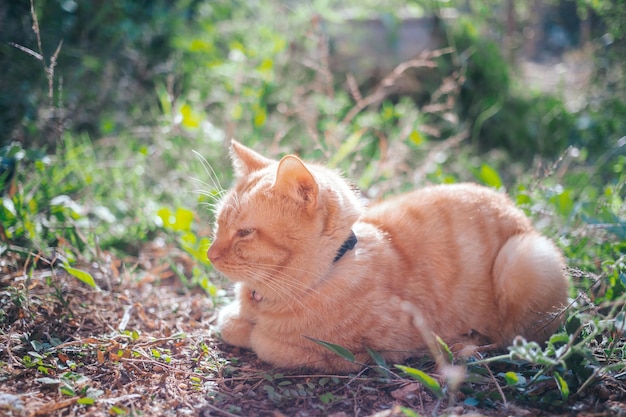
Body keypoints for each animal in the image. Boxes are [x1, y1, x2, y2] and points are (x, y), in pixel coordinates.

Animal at [207, 140, 568, 370]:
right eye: (218, 224)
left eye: (244, 233)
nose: (209, 254)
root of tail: (514, 208)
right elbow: (228, 321)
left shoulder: (374, 348)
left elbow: (267, 342)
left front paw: (257, 333)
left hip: (523, 260)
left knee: (517, 338)